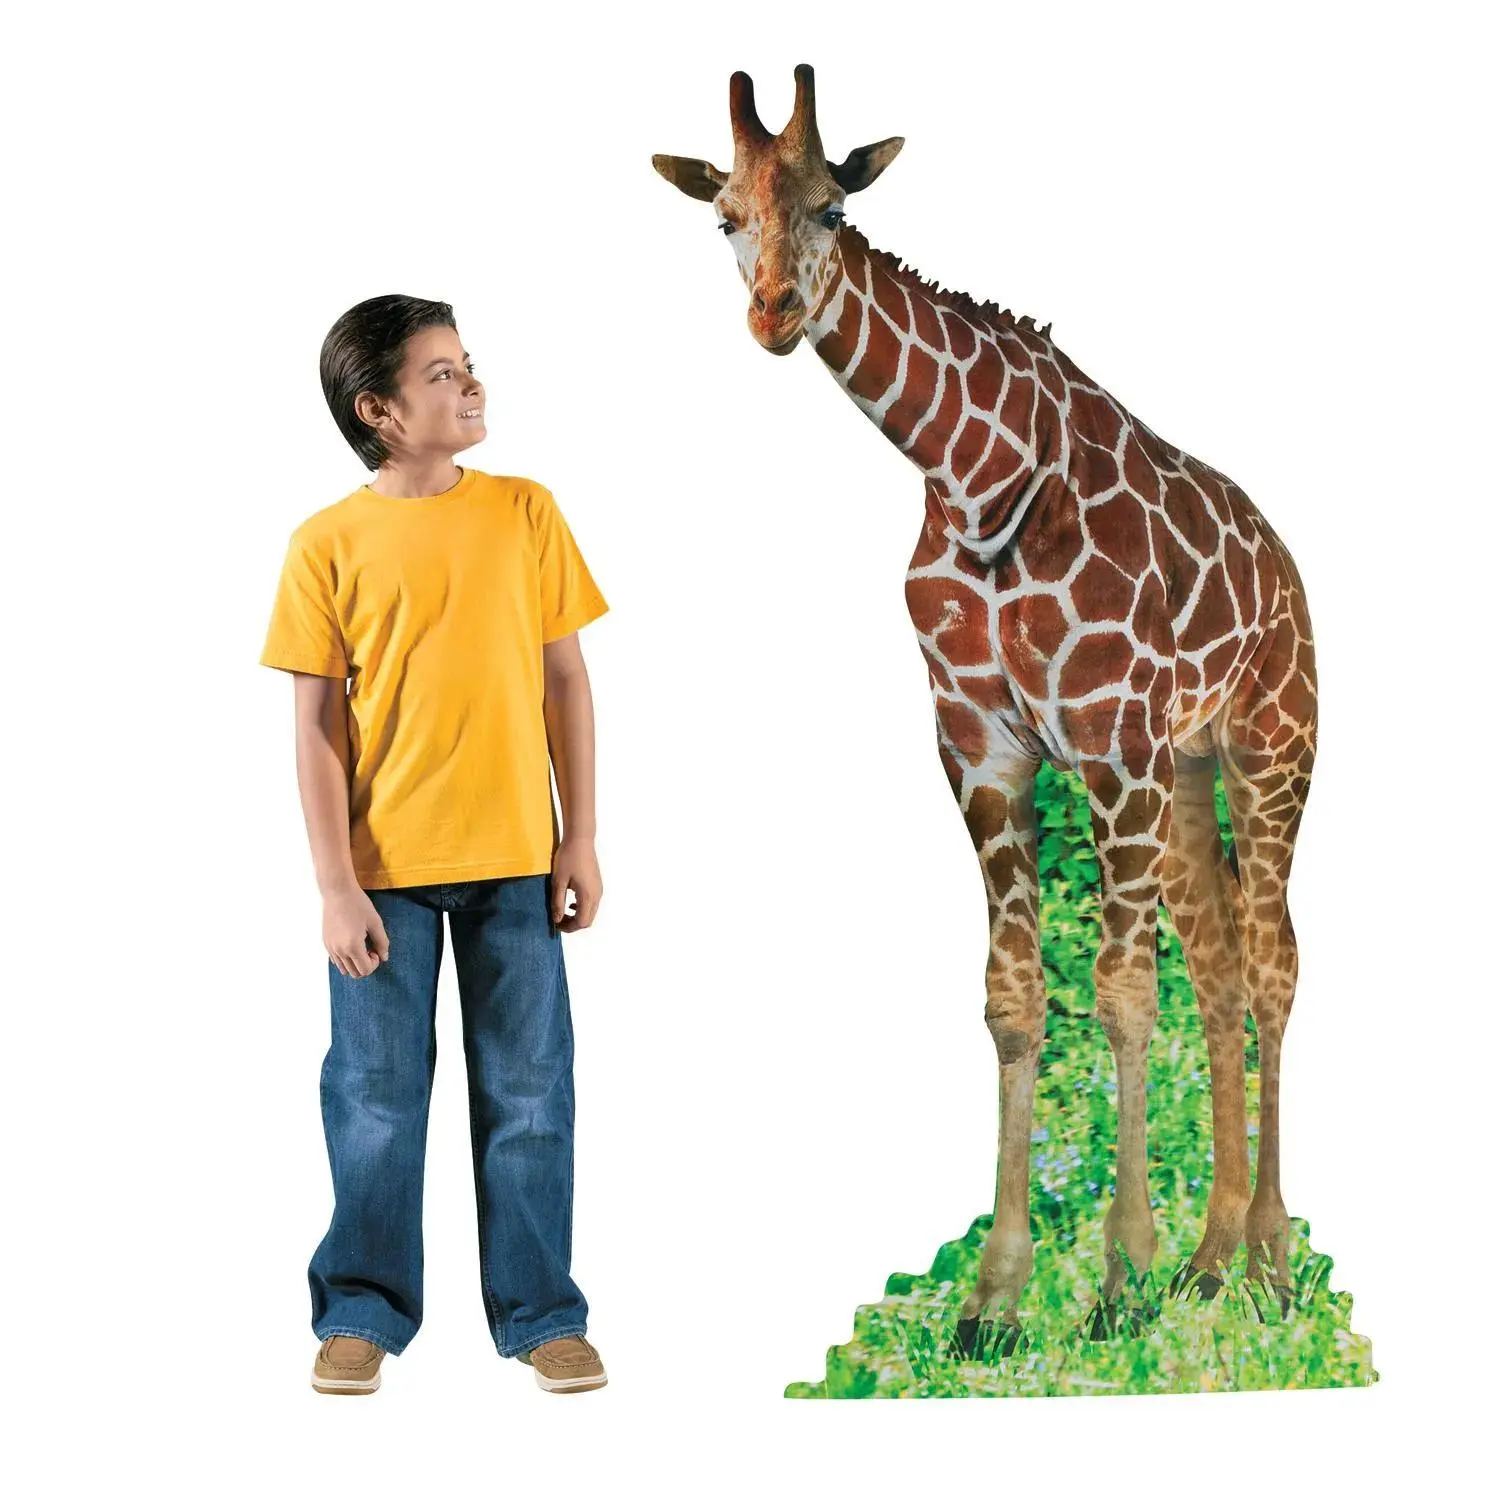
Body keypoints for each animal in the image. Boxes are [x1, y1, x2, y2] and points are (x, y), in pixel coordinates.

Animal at [653, 65, 1318, 1355]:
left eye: (832, 208)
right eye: (723, 220)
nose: (772, 314)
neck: (970, 478)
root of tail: (1291, 567)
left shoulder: (1108, 740)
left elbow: (1120, 995)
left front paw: (1117, 1283)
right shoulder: (984, 749)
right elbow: (1015, 1002)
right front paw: (995, 1302)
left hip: (1273, 747)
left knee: (1274, 963)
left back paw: (1265, 1262)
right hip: (1191, 771)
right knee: (1221, 965)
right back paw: (1212, 1265)